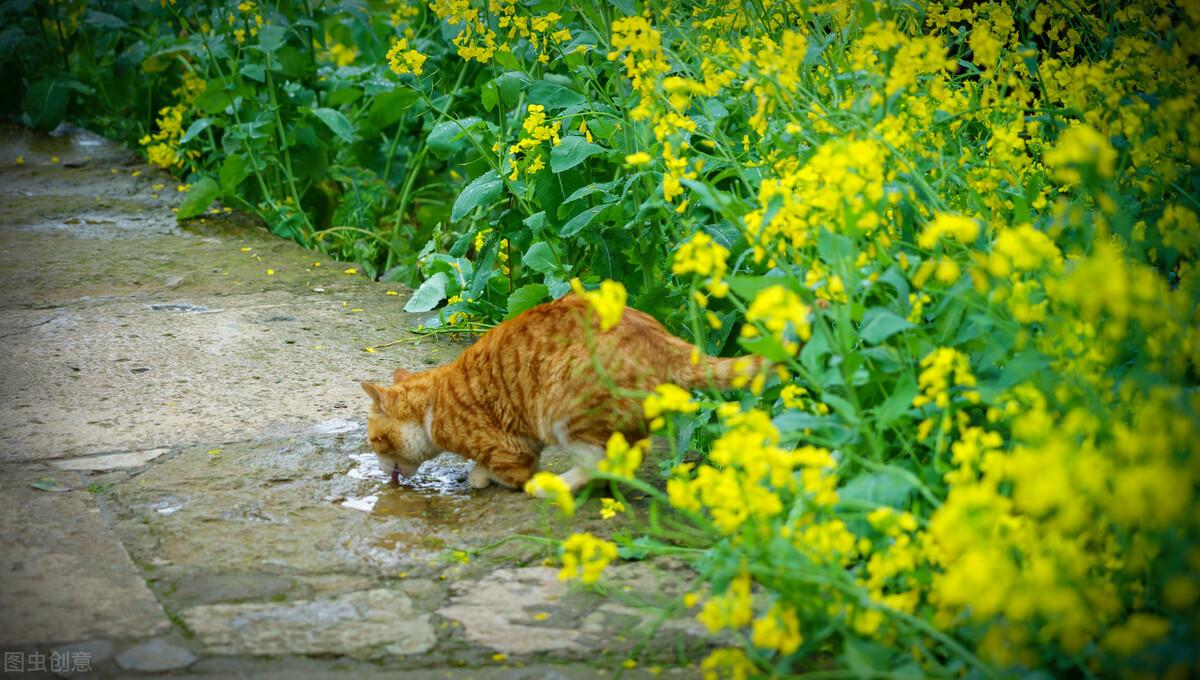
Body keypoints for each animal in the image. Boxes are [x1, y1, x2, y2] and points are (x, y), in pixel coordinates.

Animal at [360, 295, 748, 491]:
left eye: (376, 442)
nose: (381, 469)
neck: (433, 405)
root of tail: (667, 342)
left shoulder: (511, 448)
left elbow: (508, 470)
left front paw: (483, 477)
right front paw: (478, 473)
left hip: (565, 408)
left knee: (598, 464)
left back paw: (551, 486)